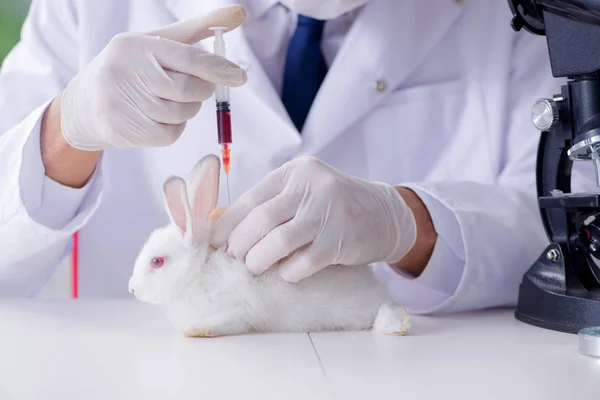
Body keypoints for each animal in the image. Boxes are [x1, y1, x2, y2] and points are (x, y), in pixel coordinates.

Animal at [128, 155, 410, 336]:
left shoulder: (237, 310)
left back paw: (398, 326)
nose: (131, 288)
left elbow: (228, 321)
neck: (196, 275)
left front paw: (195, 330)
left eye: (157, 261)